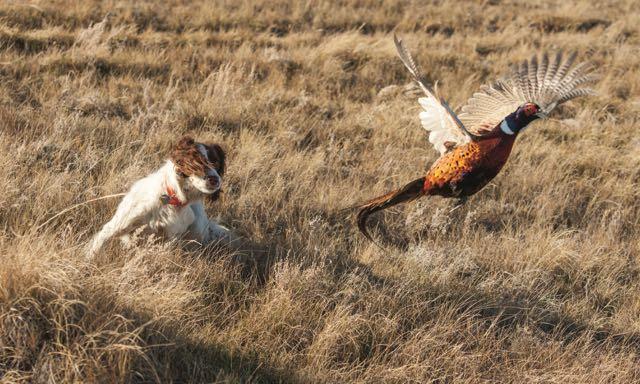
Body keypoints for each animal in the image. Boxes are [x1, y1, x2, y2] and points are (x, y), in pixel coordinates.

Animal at [87, 135, 232, 258]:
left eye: (216, 162)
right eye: (194, 161)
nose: (215, 180)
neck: (172, 199)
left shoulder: (171, 238)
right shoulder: (119, 225)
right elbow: (98, 244)